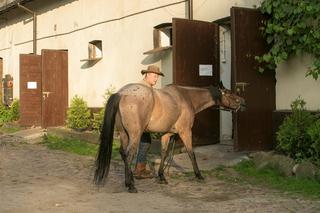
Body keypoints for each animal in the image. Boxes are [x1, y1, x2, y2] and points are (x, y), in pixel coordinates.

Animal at [94, 82, 246, 192]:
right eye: (230, 94)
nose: (243, 102)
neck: (187, 98)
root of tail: (121, 93)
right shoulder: (185, 132)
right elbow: (191, 153)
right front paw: (199, 175)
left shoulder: (167, 134)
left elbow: (164, 153)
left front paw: (161, 176)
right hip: (135, 135)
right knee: (129, 155)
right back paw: (131, 185)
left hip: (124, 134)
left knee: (123, 154)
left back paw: (128, 182)